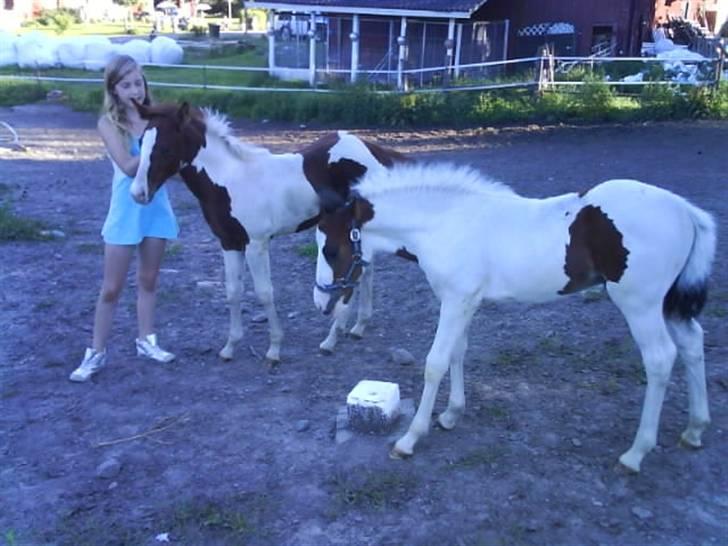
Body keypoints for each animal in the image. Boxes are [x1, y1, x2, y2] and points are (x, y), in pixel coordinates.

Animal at [129, 102, 407, 362]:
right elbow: (233, 291)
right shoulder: (229, 242)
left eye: (165, 148)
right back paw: (357, 327)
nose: (138, 193)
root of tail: (372, 149)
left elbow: (264, 292)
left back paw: (331, 340)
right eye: (141, 143)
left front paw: (274, 350)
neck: (229, 182)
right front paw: (230, 347)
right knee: (365, 270)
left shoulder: (256, 243)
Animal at [313, 162, 716, 473]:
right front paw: (451, 415)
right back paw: (695, 430)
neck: (447, 223)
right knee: (693, 343)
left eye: (331, 250)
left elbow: (435, 363)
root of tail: (685, 211)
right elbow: (458, 353)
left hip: (640, 304)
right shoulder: (463, 300)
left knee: (660, 359)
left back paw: (635, 454)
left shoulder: (456, 300)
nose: (320, 301)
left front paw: (410, 438)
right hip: (668, 304)